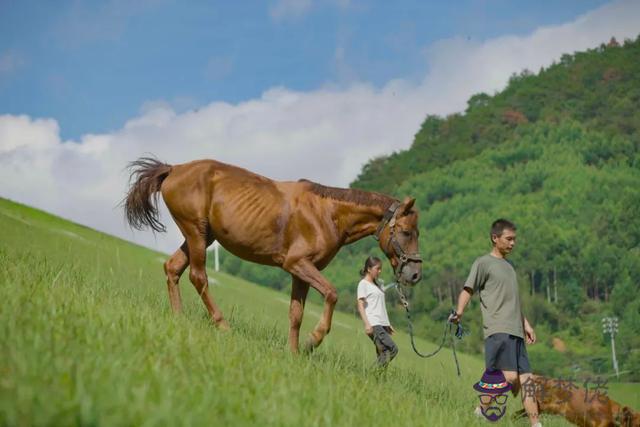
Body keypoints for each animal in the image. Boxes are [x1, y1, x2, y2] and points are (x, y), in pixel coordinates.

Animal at [124, 156, 424, 352]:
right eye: (407, 232)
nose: (415, 274)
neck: (327, 214)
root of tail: (174, 169)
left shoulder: (301, 273)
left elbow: (296, 314)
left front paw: (293, 353)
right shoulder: (297, 264)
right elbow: (331, 293)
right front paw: (312, 341)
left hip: (202, 236)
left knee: (173, 268)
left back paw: (179, 317)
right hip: (196, 233)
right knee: (198, 277)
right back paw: (222, 325)